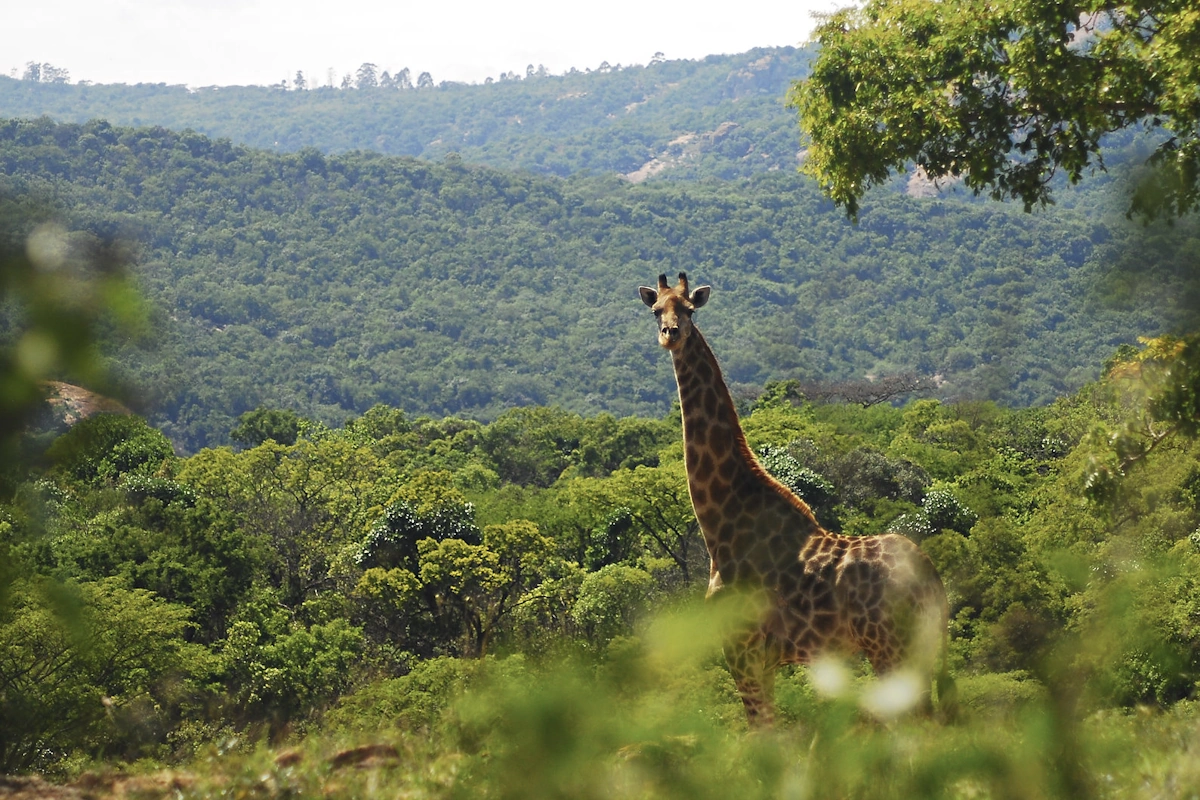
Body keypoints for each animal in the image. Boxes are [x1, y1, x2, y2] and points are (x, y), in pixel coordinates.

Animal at [639, 272, 950, 726]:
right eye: (656, 309)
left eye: (690, 310)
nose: (670, 335)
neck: (721, 522)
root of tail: (931, 580)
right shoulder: (761, 660)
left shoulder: (742, 653)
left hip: (889, 647)